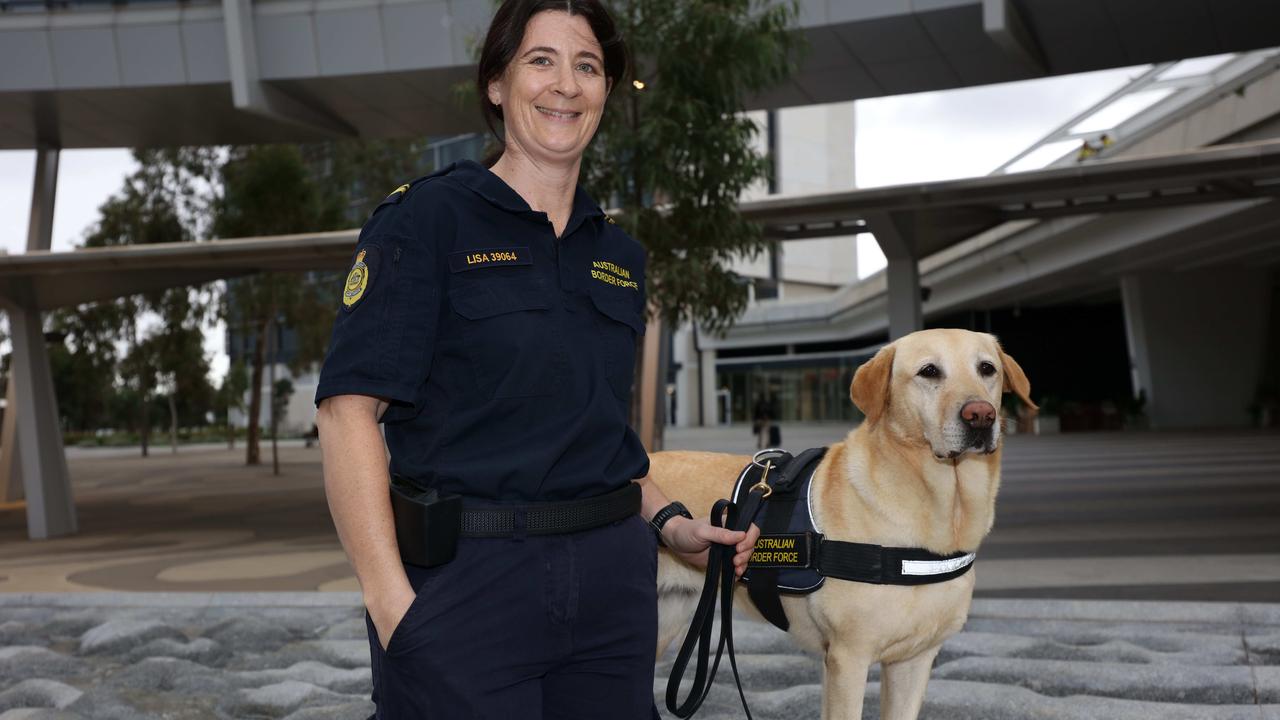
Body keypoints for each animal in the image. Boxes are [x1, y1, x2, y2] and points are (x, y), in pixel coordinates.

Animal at [655, 327, 1034, 712]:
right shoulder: (847, 659)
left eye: (987, 368)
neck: (941, 511)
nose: (981, 415)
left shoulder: (914, 661)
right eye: (929, 371)